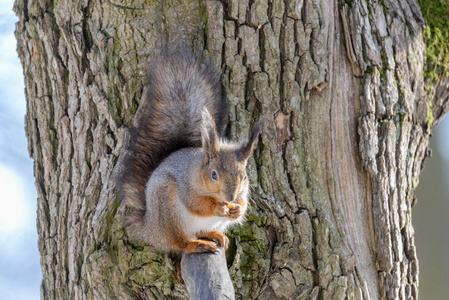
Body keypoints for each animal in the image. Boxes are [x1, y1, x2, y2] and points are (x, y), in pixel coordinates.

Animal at [117, 48, 260, 253]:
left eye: (245, 176)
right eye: (214, 175)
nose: (230, 196)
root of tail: (150, 229)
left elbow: (244, 204)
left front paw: (237, 208)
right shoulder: (187, 184)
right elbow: (197, 203)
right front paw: (217, 208)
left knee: (200, 231)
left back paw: (215, 235)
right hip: (168, 209)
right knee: (180, 242)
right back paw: (196, 243)